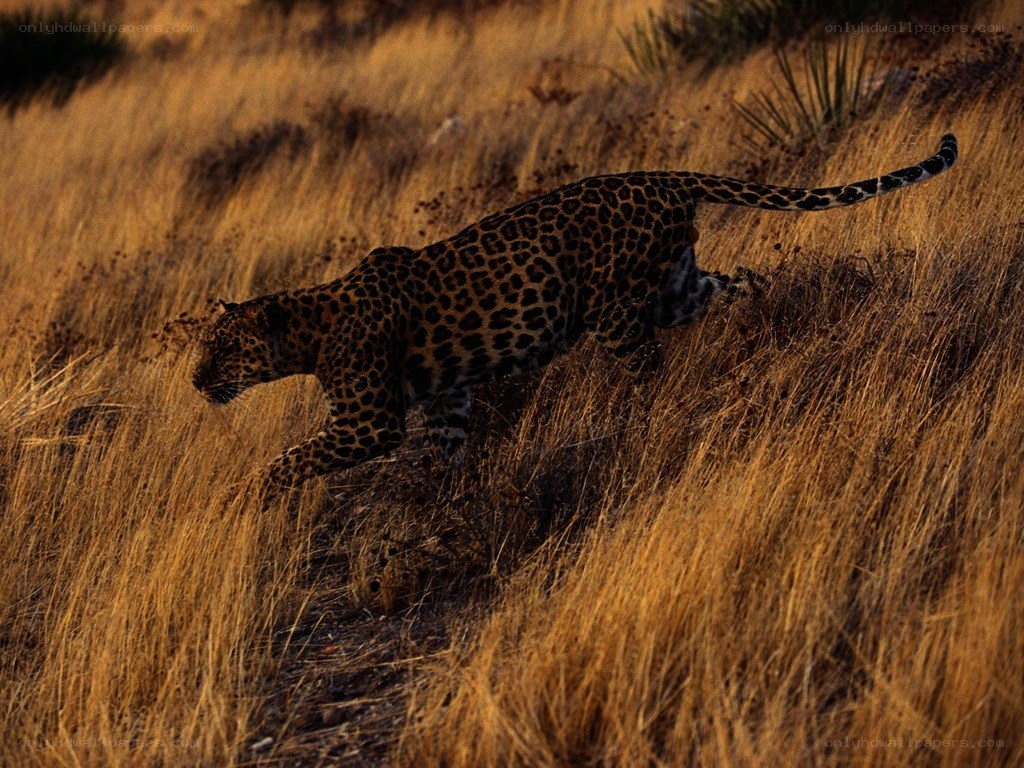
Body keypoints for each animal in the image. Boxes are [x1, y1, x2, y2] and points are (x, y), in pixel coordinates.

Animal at [191, 133, 958, 491]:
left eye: (223, 348)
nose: (197, 381)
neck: (309, 329)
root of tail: (663, 176)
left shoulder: (367, 421)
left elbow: (291, 460)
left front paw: (249, 499)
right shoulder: (447, 398)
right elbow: (444, 450)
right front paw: (435, 501)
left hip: (614, 313)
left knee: (648, 371)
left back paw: (644, 421)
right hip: (677, 288)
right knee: (746, 281)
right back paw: (777, 324)